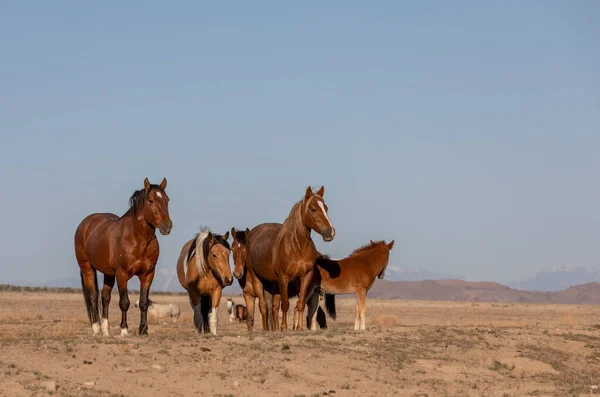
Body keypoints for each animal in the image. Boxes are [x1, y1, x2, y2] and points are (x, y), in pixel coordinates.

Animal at [74, 178, 173, 336]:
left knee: (105, 297)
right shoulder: (122, 274)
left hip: (108, 273)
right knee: (93, 296)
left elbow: (144, 302)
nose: (167, 226)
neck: (137, 239)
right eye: (150, 200)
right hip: (87, 268)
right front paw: (124, 330)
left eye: (167, 200)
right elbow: (124, 302)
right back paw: (96, 328)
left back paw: (106, 330)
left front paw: (143, 329)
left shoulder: (148, 274)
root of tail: (86, 223)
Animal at [245, 186, 338, 332]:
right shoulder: (284, 277)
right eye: (313, 209)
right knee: (263, 305)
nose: (330, 232)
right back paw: (266, 329)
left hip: (274, 283)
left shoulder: (306, 276)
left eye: (326, 208)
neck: (297, 247)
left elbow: (300, 304)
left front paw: (299, 327)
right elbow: (285, 304)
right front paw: (284, 327)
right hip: (257, 278)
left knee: (272, 306)